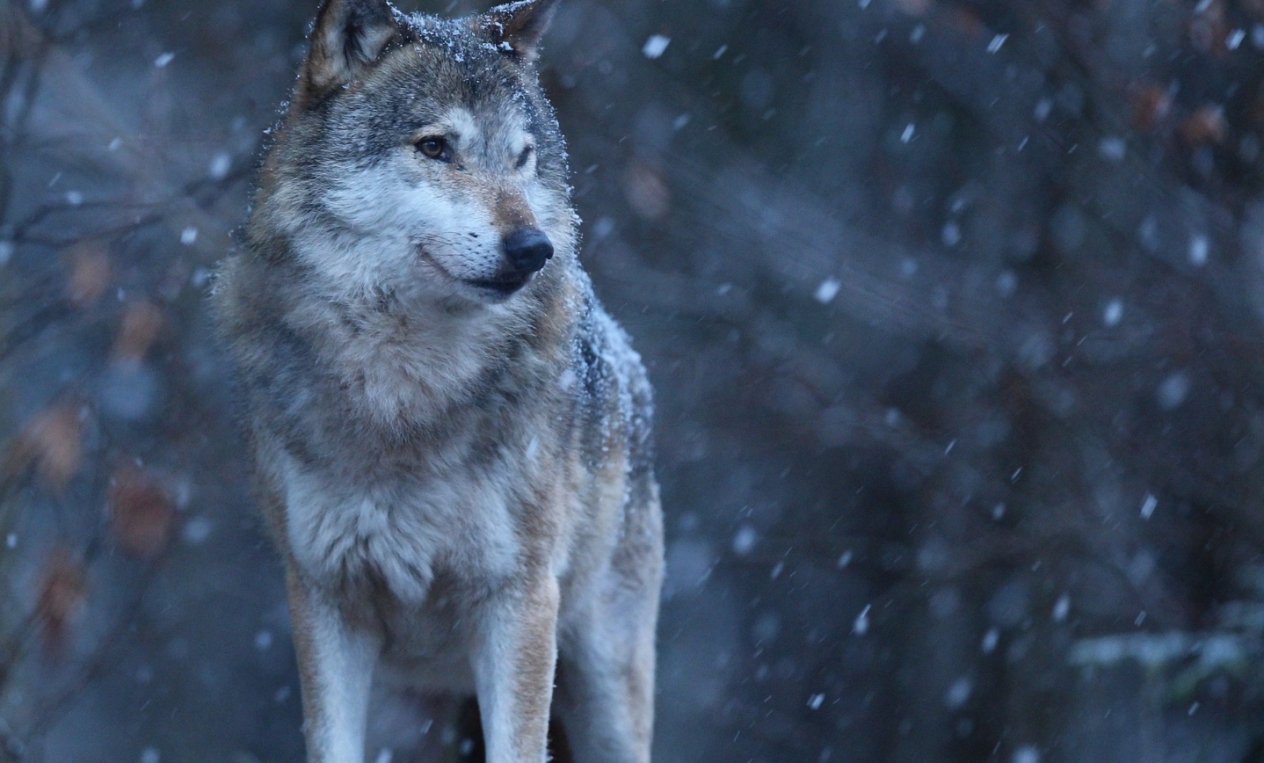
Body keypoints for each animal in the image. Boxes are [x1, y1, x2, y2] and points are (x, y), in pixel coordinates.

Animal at [209, 1, 662, 763]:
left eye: (522, 157)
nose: (534, 248)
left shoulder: (518, 601)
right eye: (435, 148)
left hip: (605, 692)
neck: (405, 391)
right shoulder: (324, 600)